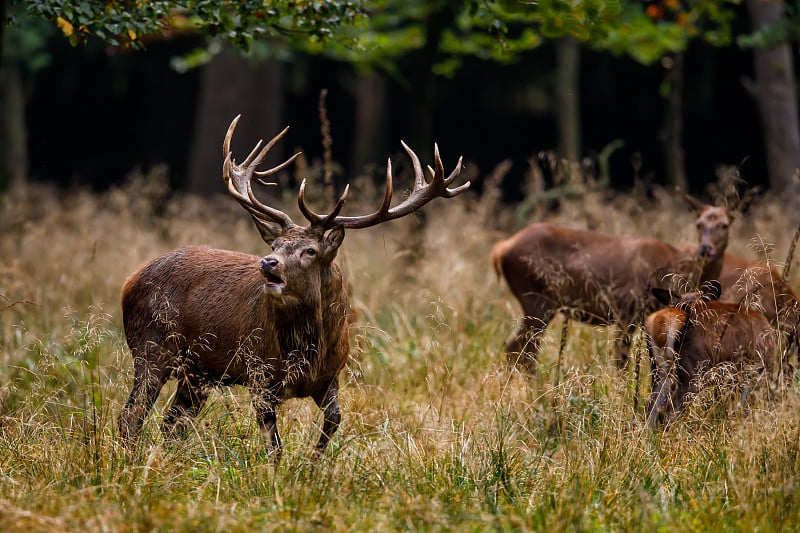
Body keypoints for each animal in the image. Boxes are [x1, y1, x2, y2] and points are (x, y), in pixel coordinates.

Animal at [117, 114, 468, 456]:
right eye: (276, 245)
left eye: (310, 250)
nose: (267, 263)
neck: (306, 351)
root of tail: (129, 282)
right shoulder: (259, 373)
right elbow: (274, 446)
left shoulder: (331, 377)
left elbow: (334, 422)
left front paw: (314, 464)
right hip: (152, 346)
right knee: (131, 416)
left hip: (197, 373)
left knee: (170, 424)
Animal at [490, 193, 740, 372]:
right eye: (698, 224)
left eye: (725, 224)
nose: (706, 249)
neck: (677, 267)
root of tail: (501, 249)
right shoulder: (626, 310)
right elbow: (621, 361)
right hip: (537, 299)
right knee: (520, 351)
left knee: (519, 350)